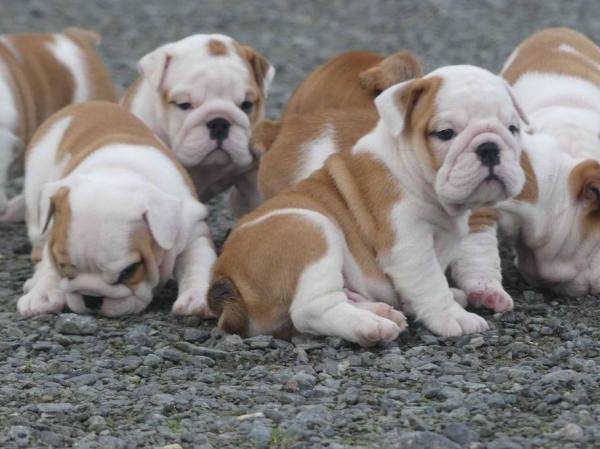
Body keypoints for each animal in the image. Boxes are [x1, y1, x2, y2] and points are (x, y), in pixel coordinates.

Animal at [17, 101, 217, 318]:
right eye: (64, 267)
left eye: (129, 271)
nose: (91, 298)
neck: (119, 172)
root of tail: (81, 106)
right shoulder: (55, 236)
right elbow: (49, 266)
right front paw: (42, 294)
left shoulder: (194, 232)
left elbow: (198, 264)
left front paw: (197, 298)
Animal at [209, 65, 528, 346]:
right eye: (445, 133)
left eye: (512, 128)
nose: (489, 148)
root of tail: (225, 275)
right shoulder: (408, 245)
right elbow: (430, 283)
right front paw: (453, 317)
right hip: (310, 228)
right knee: (310, 309)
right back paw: (370, 326)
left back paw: (380, 310)